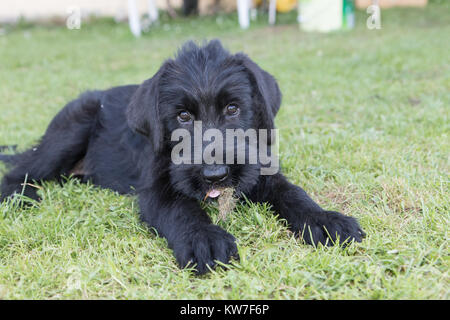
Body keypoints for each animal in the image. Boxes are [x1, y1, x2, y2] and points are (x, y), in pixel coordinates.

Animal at [0, 40, 364, 276]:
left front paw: (325, 220)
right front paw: (204, 239)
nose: (216, 175)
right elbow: (181, 210)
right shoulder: (156, 189)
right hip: (69, 133)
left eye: (233, 108)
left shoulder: (259, 169)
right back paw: (20, 195)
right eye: (183, 116)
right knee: (20, 171)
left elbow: (292, 192)